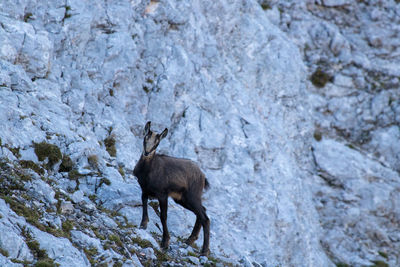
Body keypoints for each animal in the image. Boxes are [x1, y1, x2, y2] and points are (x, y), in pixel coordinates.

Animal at [134, 122, 211, 258]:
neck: (149, 170)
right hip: (182, 199)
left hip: (192, 196)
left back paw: (204, 251)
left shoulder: (162, 194)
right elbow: (144, 204)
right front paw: (143, 225)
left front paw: (165, 242)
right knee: (201, 212)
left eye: (157, 143)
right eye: (145, 138)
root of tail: (202, 176)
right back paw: (189, 240)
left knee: (205, 218)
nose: (147, 153)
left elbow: (163, 216)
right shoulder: (144, 190)